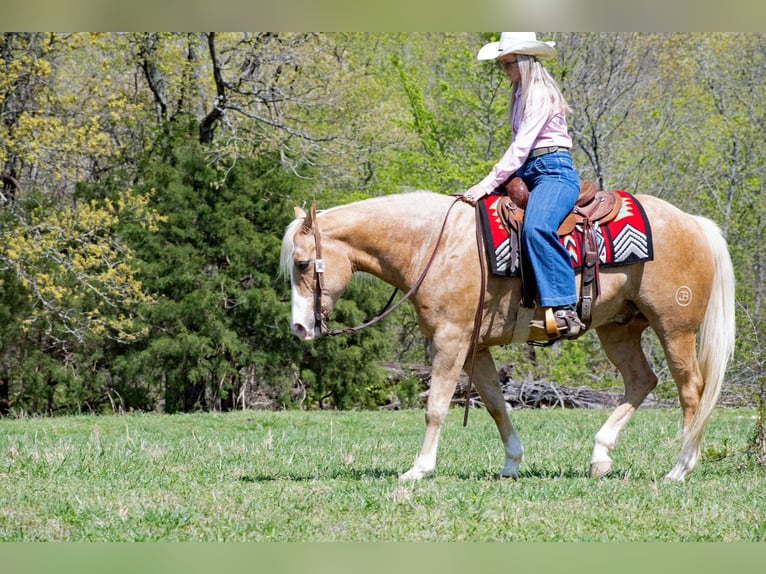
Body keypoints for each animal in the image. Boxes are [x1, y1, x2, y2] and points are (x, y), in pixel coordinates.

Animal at [280, 190, 735, 481]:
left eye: (302, 264)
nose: (299, 328)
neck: (434, 245)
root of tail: (694, 223)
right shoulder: (475, 347)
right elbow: (497, 406)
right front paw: (512, 463)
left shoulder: (450, 341)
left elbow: (435, 407)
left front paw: (419, 469)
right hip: (617, 329)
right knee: (642, 381)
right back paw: (600, 455)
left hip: (674, 329)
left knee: (691, 391)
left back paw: (680, 468)